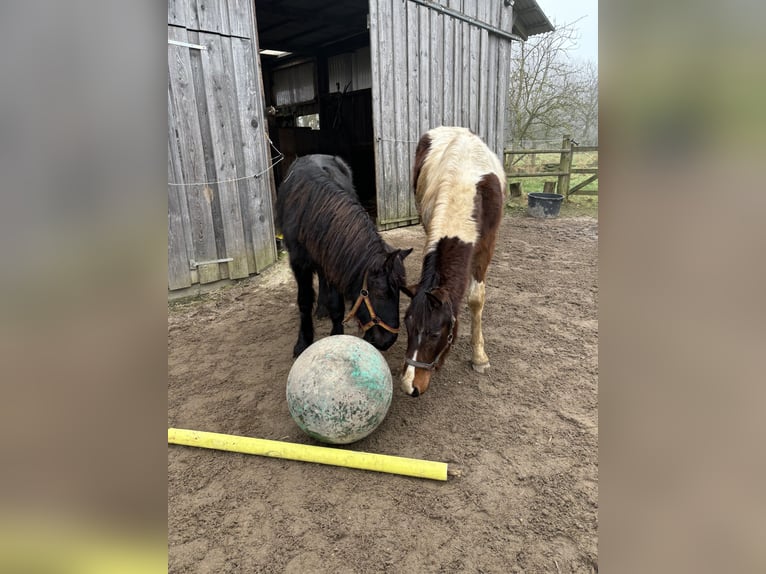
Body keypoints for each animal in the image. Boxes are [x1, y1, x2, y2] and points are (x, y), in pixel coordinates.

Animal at [272, 155, 412, 358]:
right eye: (381, 293)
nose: (388, 341)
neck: (312, 208)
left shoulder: (335, 261)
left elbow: (336, 305)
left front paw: (336, 336)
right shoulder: (299, 264)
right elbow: (304, 302)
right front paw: (303, 342)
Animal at [402, 127, 510, 396]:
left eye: (434, 333)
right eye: (407, 326)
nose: (409, 386)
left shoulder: (486, 246)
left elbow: (476, 299)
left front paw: (479, 357)